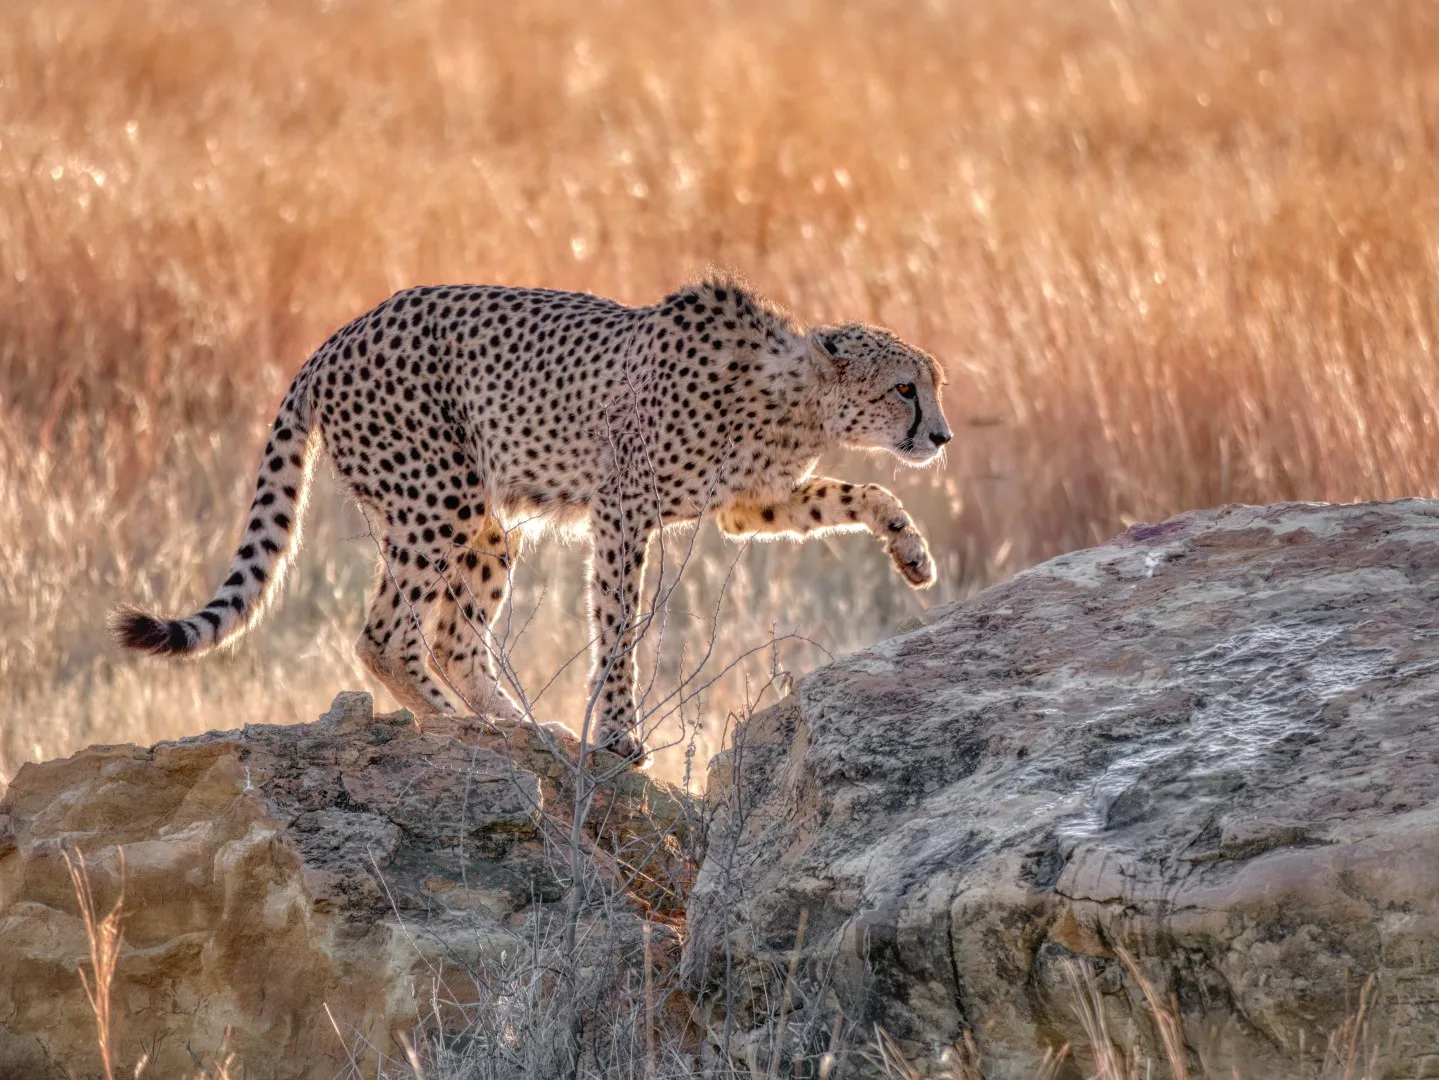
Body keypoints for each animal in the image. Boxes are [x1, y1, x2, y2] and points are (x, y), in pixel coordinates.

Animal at [112, 275, 953, 764]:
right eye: (904, 388)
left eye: (930, 386)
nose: (940, 436)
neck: (792, 397)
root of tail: (336, 337)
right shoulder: (622, 509)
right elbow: (617, 628)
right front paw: (618, 734)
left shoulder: (749, 505)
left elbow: (856, 495)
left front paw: (911, 551)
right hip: (438, 496)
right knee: (385, 633)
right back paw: (468, 727)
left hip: (486, 524)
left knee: (453, 638)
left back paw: (522, 724)